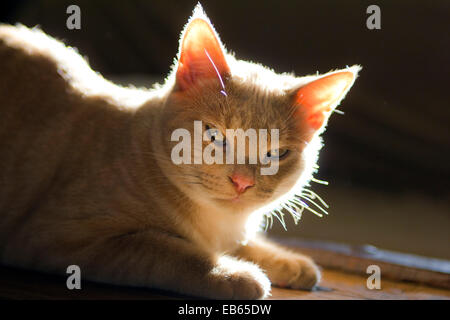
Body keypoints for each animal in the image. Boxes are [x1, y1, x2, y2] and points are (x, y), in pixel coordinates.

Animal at [0, 4, 358, 300]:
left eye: (277, 154)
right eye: (214, 135)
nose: (242, 182)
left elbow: (243, 243)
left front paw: (288, 262)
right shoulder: (64, 236)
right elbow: (166, 249)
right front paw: (230, 272)